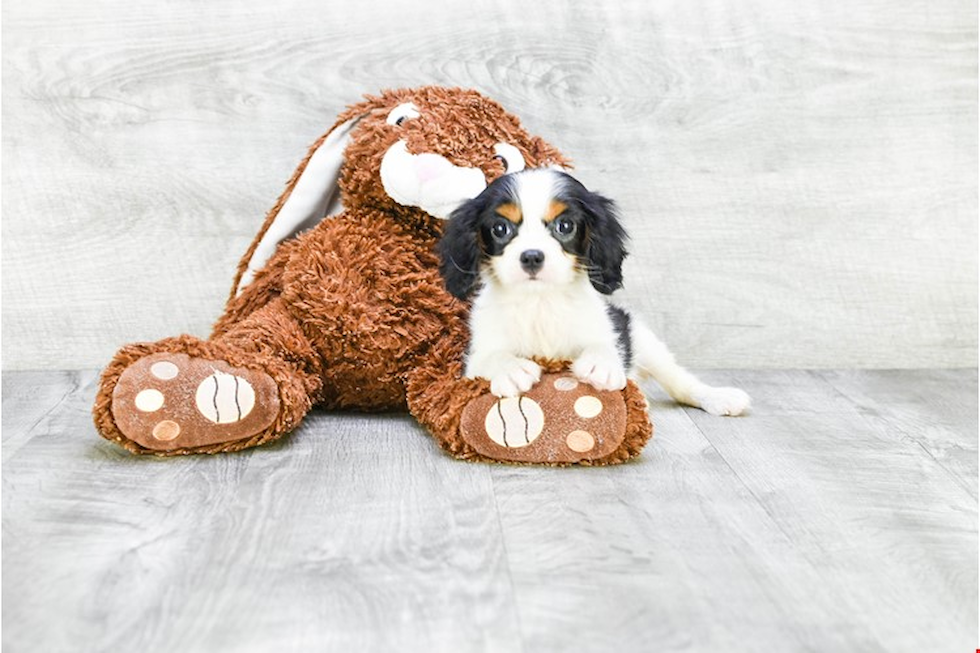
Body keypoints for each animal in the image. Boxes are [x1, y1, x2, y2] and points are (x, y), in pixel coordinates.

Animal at [436, 167, 752, 412]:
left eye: (565, 226)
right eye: (500, 229)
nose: (532, 257)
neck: (540, 302)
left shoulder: (608, 327)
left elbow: (603, 343)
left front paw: (601, 362)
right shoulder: (475, 356)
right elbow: (490, 357)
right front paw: (511, 368)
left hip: (644, 338)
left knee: (681, 381)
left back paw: (719, 397)